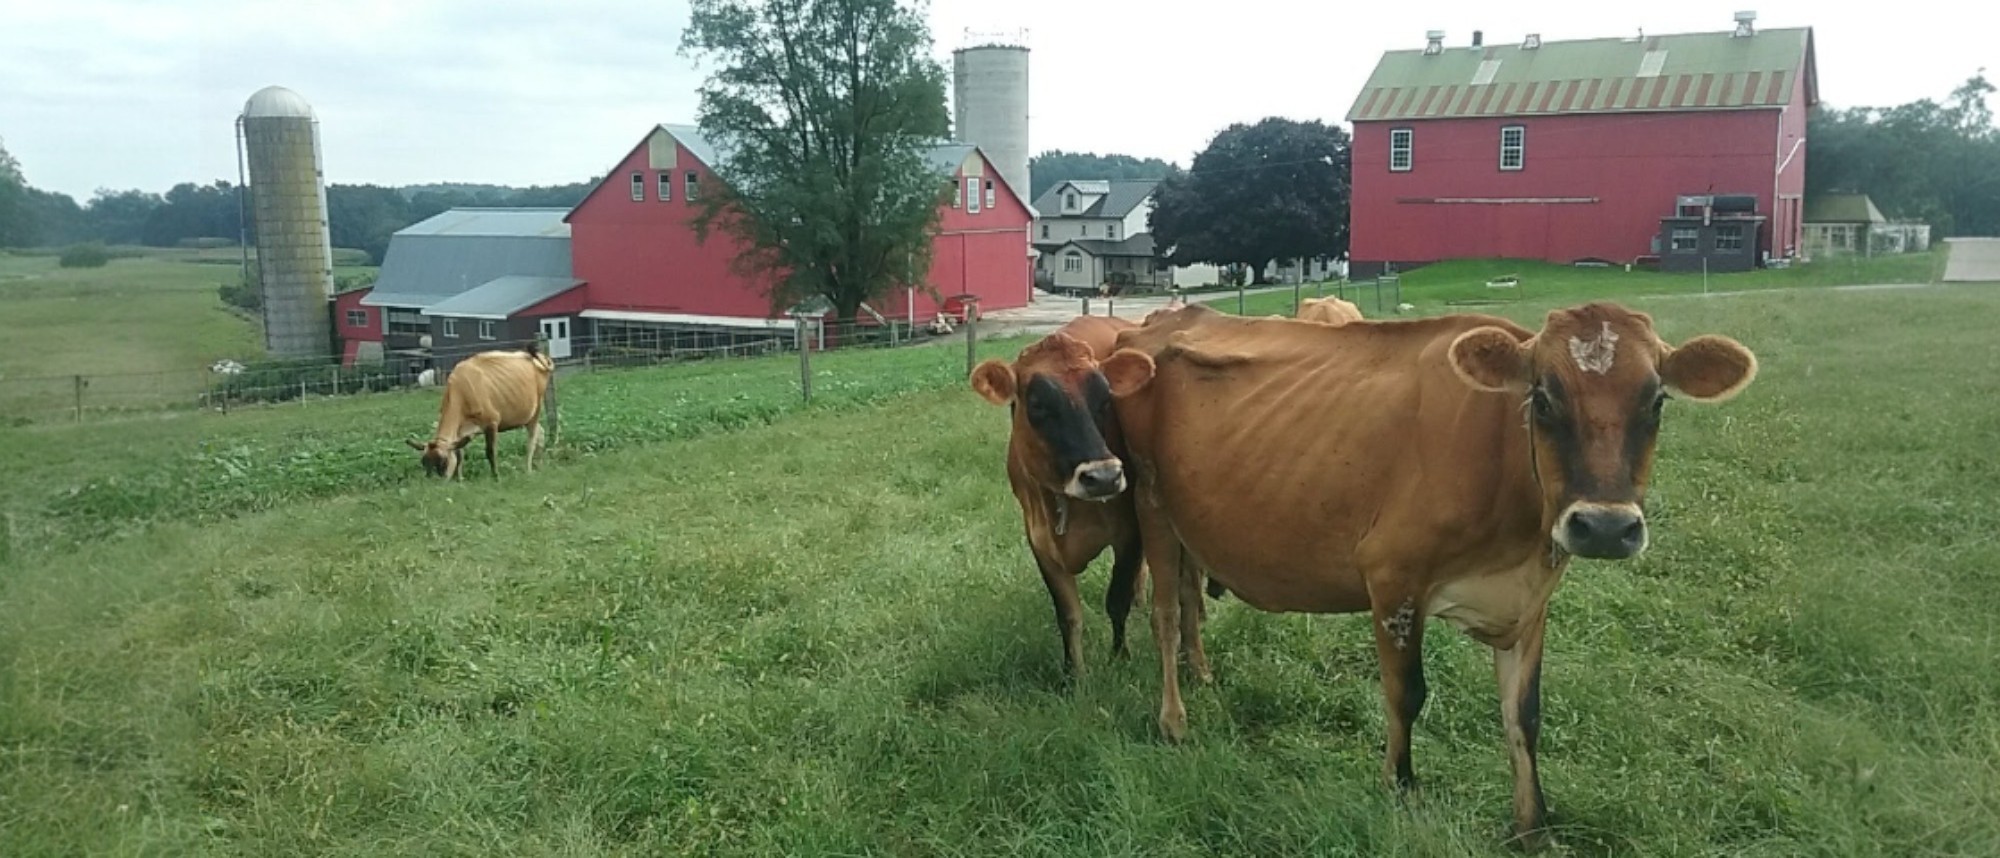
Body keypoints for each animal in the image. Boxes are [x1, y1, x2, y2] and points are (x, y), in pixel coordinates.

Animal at [405, 344, 556, 480]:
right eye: (424, 463)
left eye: (444, 462)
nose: (433, 482)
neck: (462, 392)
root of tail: (541, 357)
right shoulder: (460, 432)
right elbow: (459, 454)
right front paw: (459, 479)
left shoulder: (492, 422)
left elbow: (490, 452)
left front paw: (496, 477)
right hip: (525, 416)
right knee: (541, 432)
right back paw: (539, 465)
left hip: (536, 408)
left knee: (532, 438)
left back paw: (528, 469)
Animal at [969, 315, 1148, 678]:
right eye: (1037, 404)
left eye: (1106, 399)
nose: (1103, 478)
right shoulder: (1040, 542)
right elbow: (1068, 615)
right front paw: (1073, 674)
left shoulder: (1130, 532)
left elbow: (1116, 601)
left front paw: (1119, 658)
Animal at [1096, 301, 1758, 847]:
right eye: (1544, 398)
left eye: (1657, 401)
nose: (1602, 526)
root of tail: (1164, 320)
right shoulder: (1392, 575)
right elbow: (1406, 694)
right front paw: (1400, 787)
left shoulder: (1531, 600)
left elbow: (1525, 714)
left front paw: (1532, 825)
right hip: (1151, 501)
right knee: (1162, 614)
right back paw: (1174, 721)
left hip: (1189, 523)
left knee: (1187, 600)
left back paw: (1202, 674)